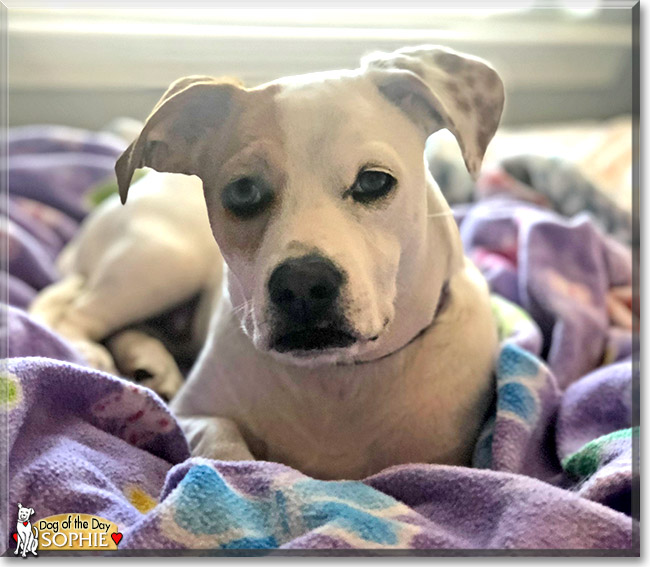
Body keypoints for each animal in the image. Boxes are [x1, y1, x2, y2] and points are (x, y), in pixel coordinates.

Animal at [31, 45, 502, 480]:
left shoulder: (443, 460)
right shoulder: (189, 414)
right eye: (242, 191)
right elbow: (221, 438)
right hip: (163, 260)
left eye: (373, 181)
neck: (336, 381)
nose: (302, 285)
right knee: (76, 317)